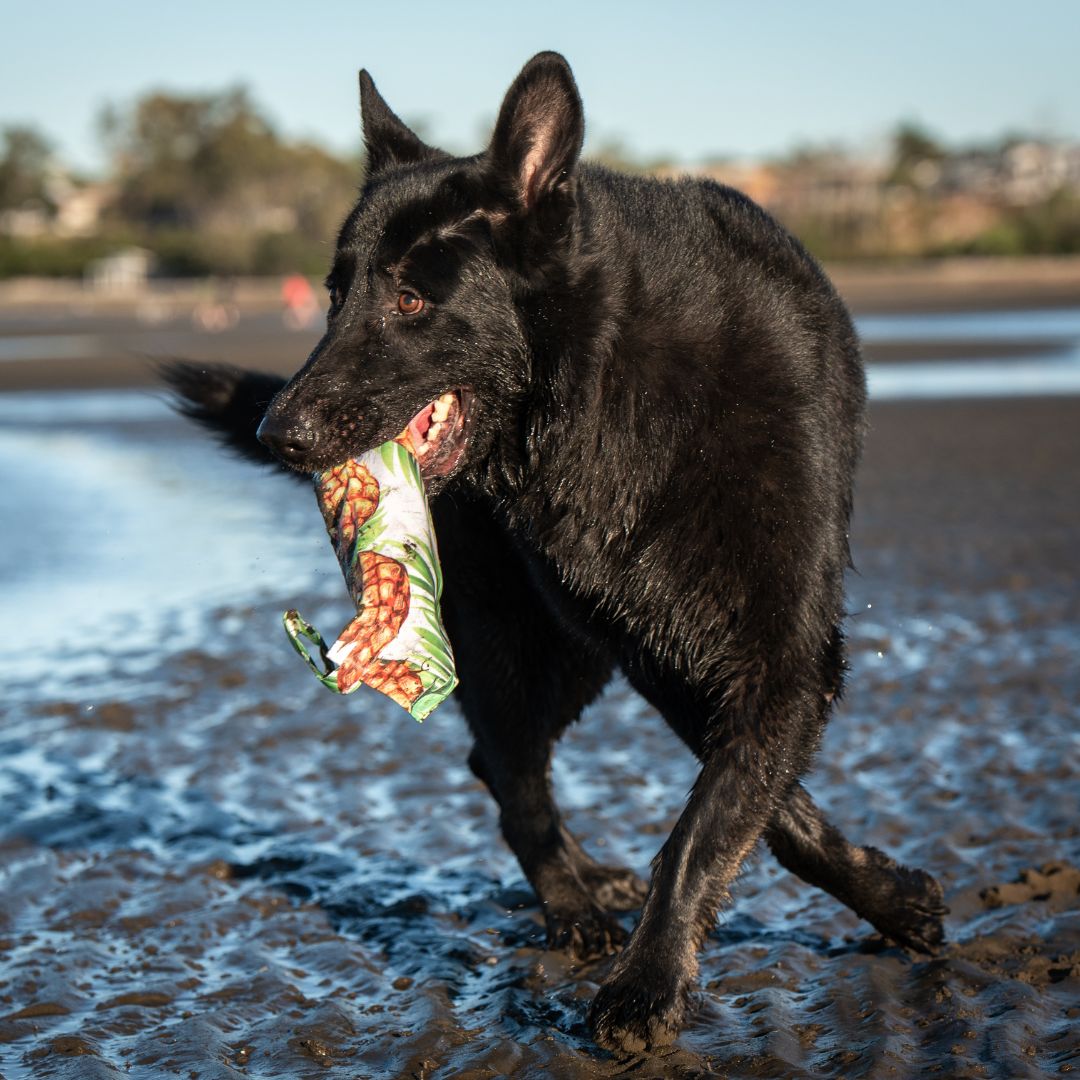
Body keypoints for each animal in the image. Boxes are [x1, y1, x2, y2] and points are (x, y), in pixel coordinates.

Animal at [162, 52, 946, 1054]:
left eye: (411, 299)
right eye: (335, 296)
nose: (278, 431)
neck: (606, 389)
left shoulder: (771, 656)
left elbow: (728, 813)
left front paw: (666, 971)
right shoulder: (662, 653)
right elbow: (748, 811)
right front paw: (657, 968)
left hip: (566, 655)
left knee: (501, 763)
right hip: (526, 643)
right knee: (508, 771)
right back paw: (571, 903)